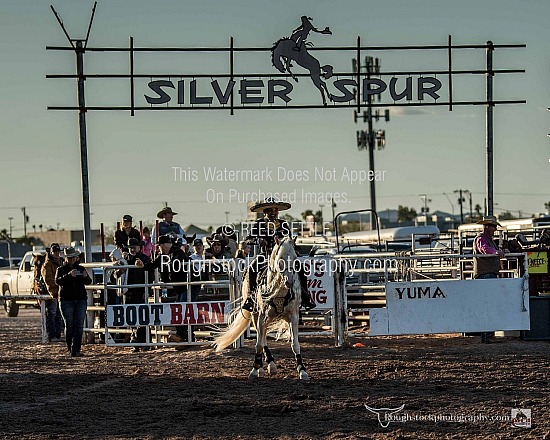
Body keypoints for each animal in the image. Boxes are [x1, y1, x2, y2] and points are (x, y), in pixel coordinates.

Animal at [215, 237, 310, 382]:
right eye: (280, 258)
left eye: (295, 258)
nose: (289, 282)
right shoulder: (261, 317)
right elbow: (259, 344)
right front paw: (255, 369)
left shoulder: (293, 317)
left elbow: (295, 344)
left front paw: (302, 370)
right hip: (255, 315)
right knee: (263, 339)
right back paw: (268, 364)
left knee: (264, 336)